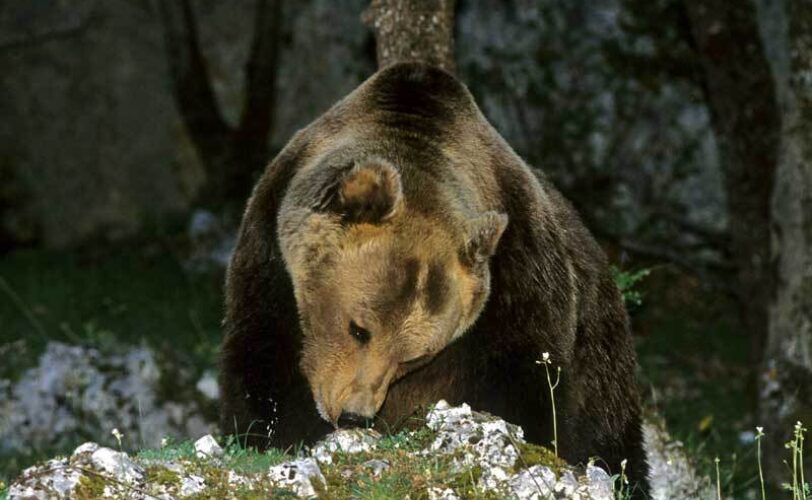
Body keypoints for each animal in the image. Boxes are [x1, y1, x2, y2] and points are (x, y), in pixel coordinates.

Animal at [219, 62, 649, 493]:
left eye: (413, 357)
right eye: (359, 329)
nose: (354, 415)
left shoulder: (519, 280)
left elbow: (528, 385)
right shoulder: (270, 252)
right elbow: (263, 356)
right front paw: (275, 434)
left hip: (599, 350)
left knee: (610, 435)